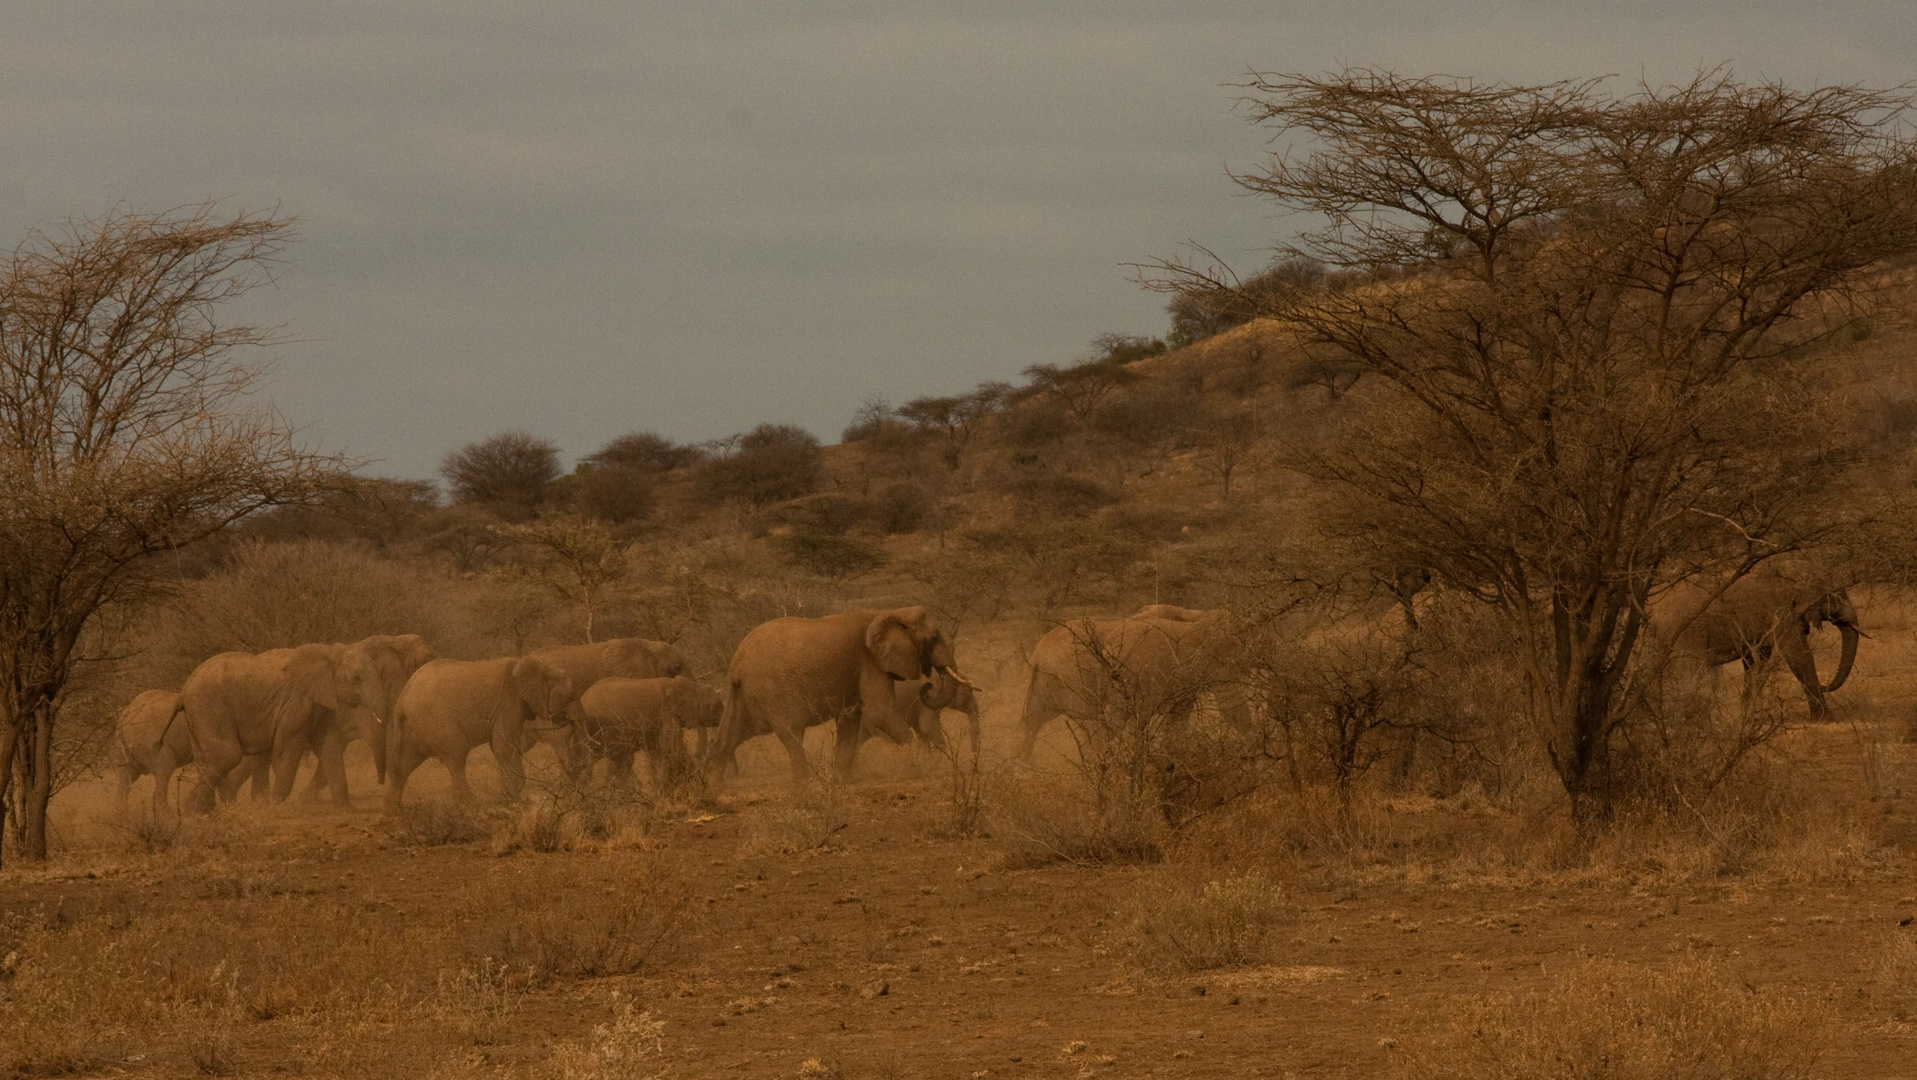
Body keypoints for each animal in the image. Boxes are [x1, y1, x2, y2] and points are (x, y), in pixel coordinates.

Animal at [381, 656, 575, 817]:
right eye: (567, 697)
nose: (566, 720)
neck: (537, 664)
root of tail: (401, 703)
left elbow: (501, 747)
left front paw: (507, 798)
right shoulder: (509, 703)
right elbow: (503, 747)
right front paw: (507, 800)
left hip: (414, 728)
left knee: (405, 765)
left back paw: (394, 812)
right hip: (435, 722)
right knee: (456, 756)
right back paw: (470, 805)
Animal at [571, 675, 720, 794]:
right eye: (715, 707)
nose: (698, 754)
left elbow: (657, 750)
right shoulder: (666, 712)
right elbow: (672, 746)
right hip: (605, 727)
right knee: (620, 761)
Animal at [705, 610, 973, 786]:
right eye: (935, 635)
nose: (927, 687)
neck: (890, 612)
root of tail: (736, 663)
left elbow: (851, 718)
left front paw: (841, 781)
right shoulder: (870, 661)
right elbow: (881, 712)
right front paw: (922, 766)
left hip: (742, 695)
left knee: (730, 735)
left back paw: (713, 792)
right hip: (773, 691)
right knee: (792, 734)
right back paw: (804, 786)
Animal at [1019, 610, 1257, 759]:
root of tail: (1037, 655)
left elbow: (1178, 716)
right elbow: (1231, 707)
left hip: (1047, 682)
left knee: (1031, 724)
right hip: (1073, 676)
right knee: (1093, 723)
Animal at [1663, 563, 1855, 721]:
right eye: (1838, 595)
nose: (1825, 686)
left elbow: (1757, 659)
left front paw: (1748, 716)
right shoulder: (1780, 610)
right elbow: (1797, 654)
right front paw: (1825, 719)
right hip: (1689, 631)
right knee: (1690, 670)